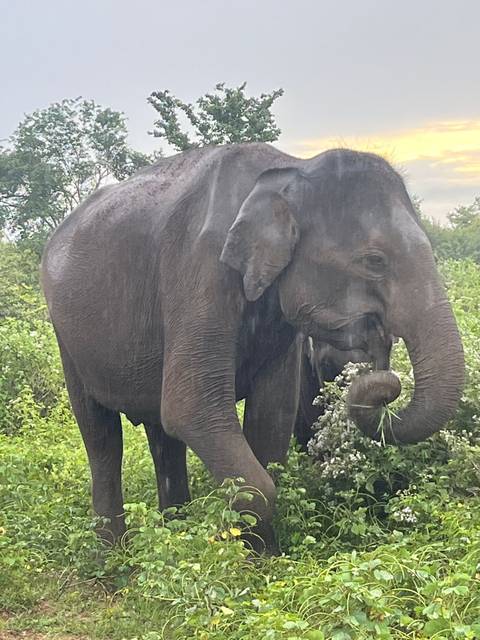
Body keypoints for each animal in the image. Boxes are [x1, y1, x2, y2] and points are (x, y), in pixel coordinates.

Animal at [41, 143, 464, 552]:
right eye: (374, 260)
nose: (381, 371)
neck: (292, 168)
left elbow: (272, 414)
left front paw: (265, 557)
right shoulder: (198, 272)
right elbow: (190, 409)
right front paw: (243, 551)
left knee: (162, 438)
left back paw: (174, 535)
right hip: (67, 339)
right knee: (102, 440)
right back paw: (114, 558)